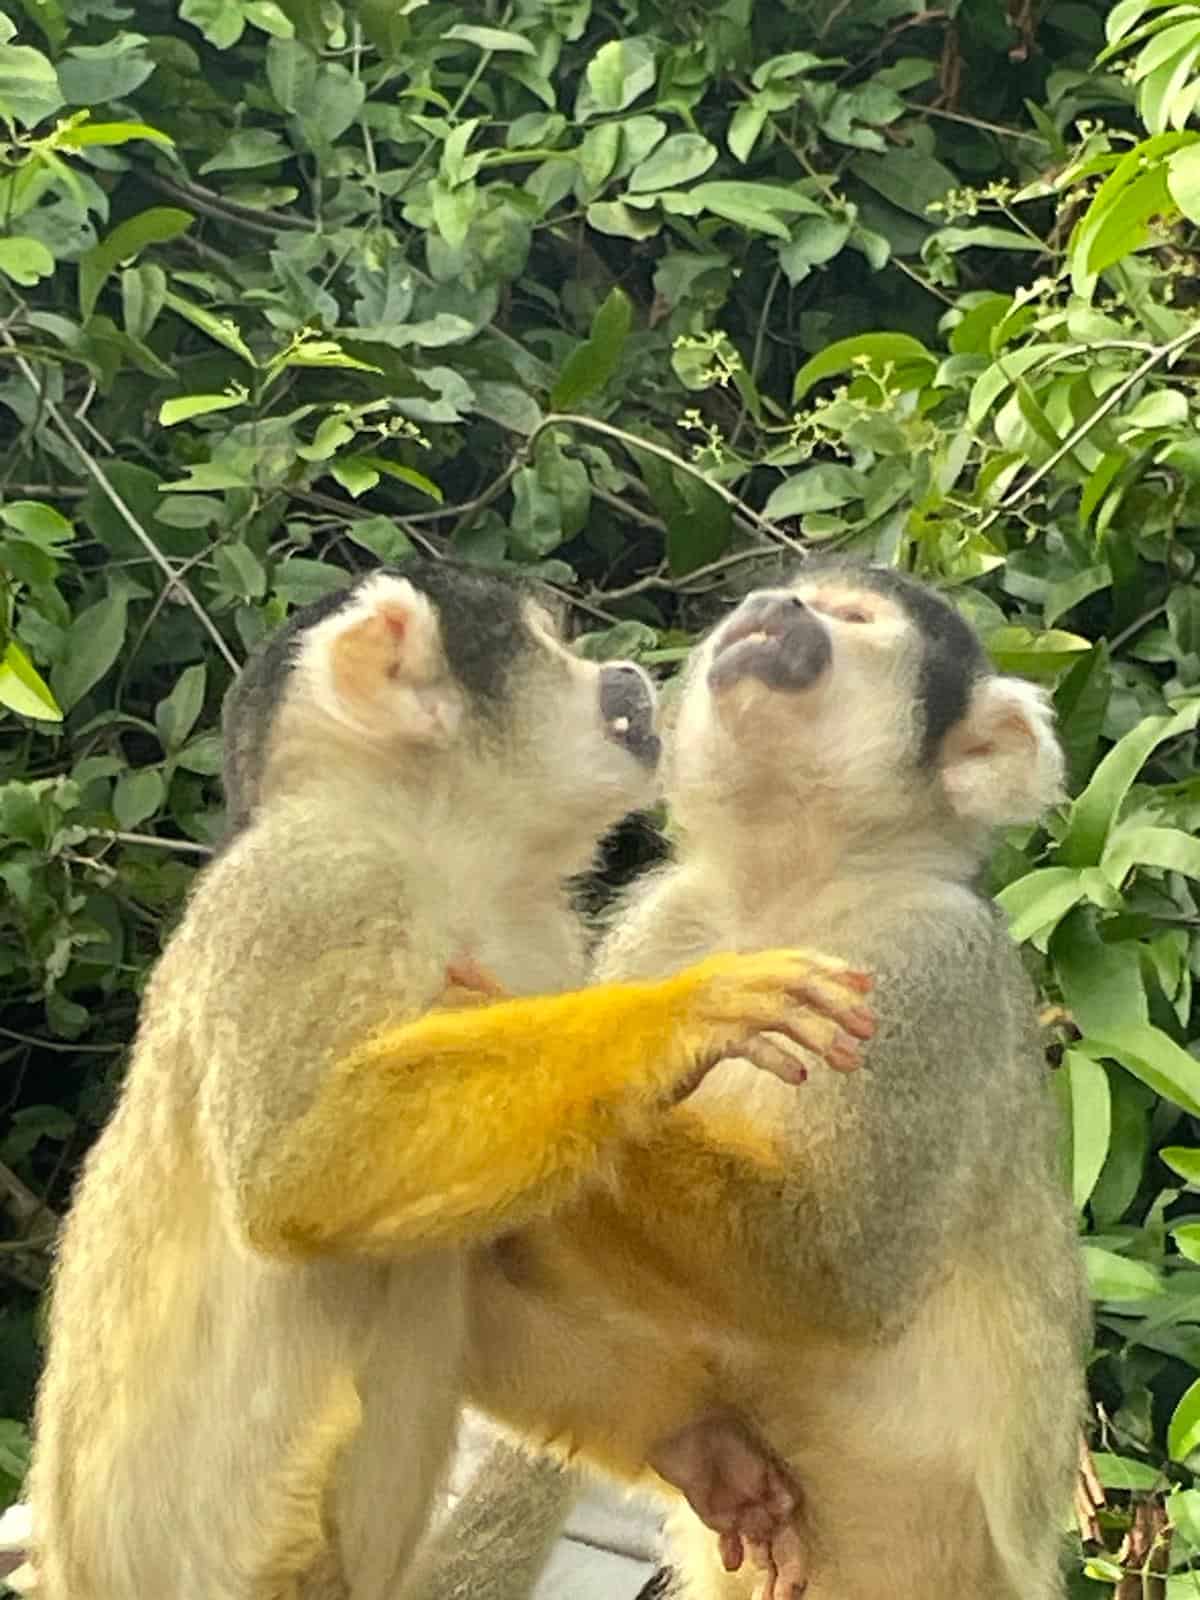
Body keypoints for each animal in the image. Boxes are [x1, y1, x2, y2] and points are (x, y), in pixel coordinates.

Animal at [23, 558, 878, 1600]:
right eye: (551, 645)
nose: (625, 676)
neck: (444, 858)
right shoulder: (317, 882)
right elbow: (295, 1172)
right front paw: (683, 1013)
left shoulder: (540, 943)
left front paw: (700, 1446)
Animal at [404, 557, 1090, 1600]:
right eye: (793, 596)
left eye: (853, 616)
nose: (779, 609)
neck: (790, 892)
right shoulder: (658, 931)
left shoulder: (938, 964)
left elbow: (829, 1267)